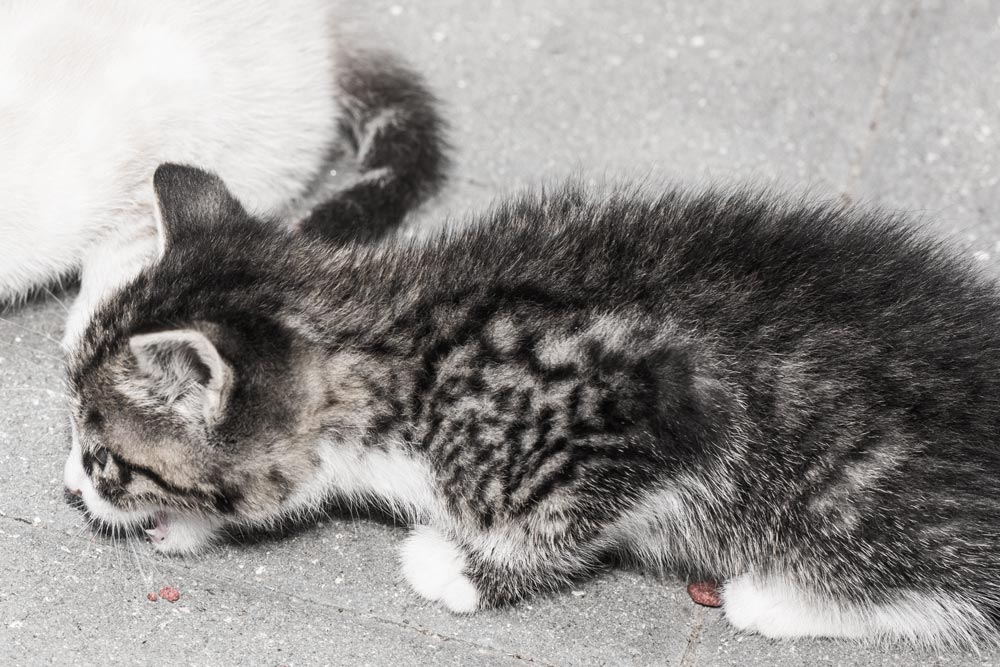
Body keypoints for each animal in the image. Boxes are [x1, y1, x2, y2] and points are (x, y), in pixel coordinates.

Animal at [62, 163, 1000, 648]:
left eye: (105, 453)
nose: (71, 489)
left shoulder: (649, 408)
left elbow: (557, 520)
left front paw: (465, 568)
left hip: (849, 492)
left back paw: (775, 598)